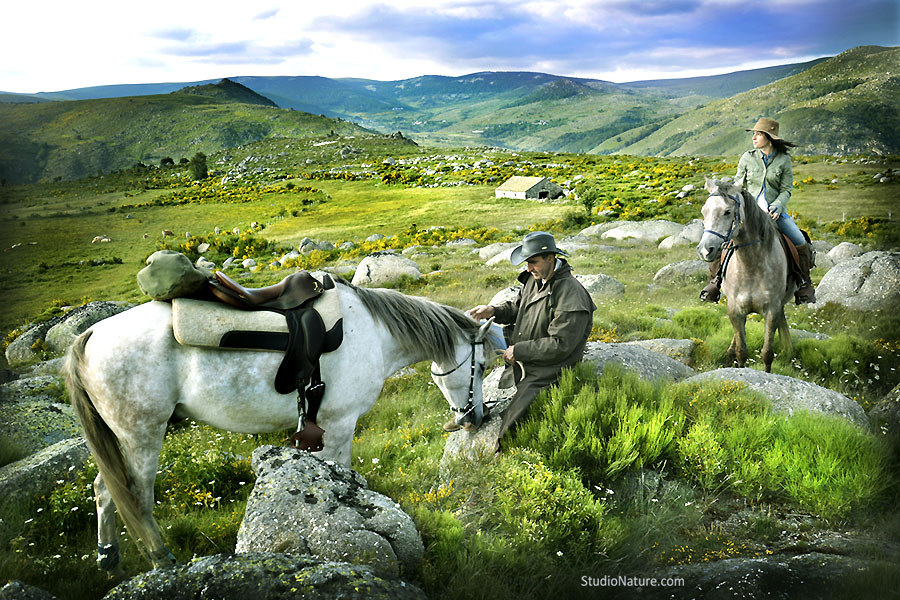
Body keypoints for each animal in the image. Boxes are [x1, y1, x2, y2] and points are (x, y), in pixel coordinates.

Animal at [66, 278, 496, 576]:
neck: (374, 333)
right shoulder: (340, 425)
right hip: (141, 434)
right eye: (482, 365)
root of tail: (90, 334)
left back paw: (109, 558)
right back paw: (161, 559)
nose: (475, 418)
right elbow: (344, 476)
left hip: (124, 438)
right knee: (136, 498)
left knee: (104, 490)